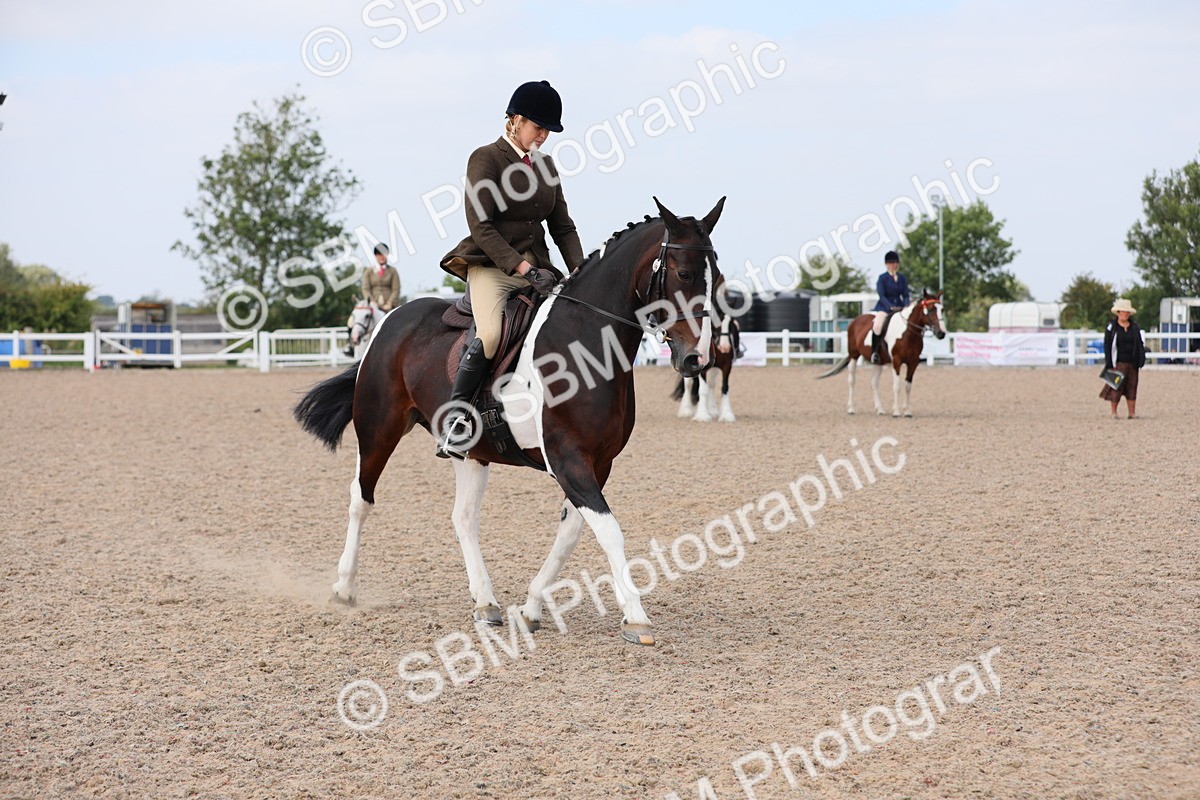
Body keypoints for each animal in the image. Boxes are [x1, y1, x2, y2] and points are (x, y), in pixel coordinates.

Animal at [294, 197, 726, 647]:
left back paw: (486, 602)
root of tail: (392, 319)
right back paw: (345, 587)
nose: (697, 358)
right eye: (683, 273)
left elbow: (570, 533)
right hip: (378, 428)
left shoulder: (598, 463)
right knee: (361, 498)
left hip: (470, 453)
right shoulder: (568, 458)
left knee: (463, 518)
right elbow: (609, 531)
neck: (586, 340)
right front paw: (636, 617)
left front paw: (532, 608)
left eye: (717, 278)